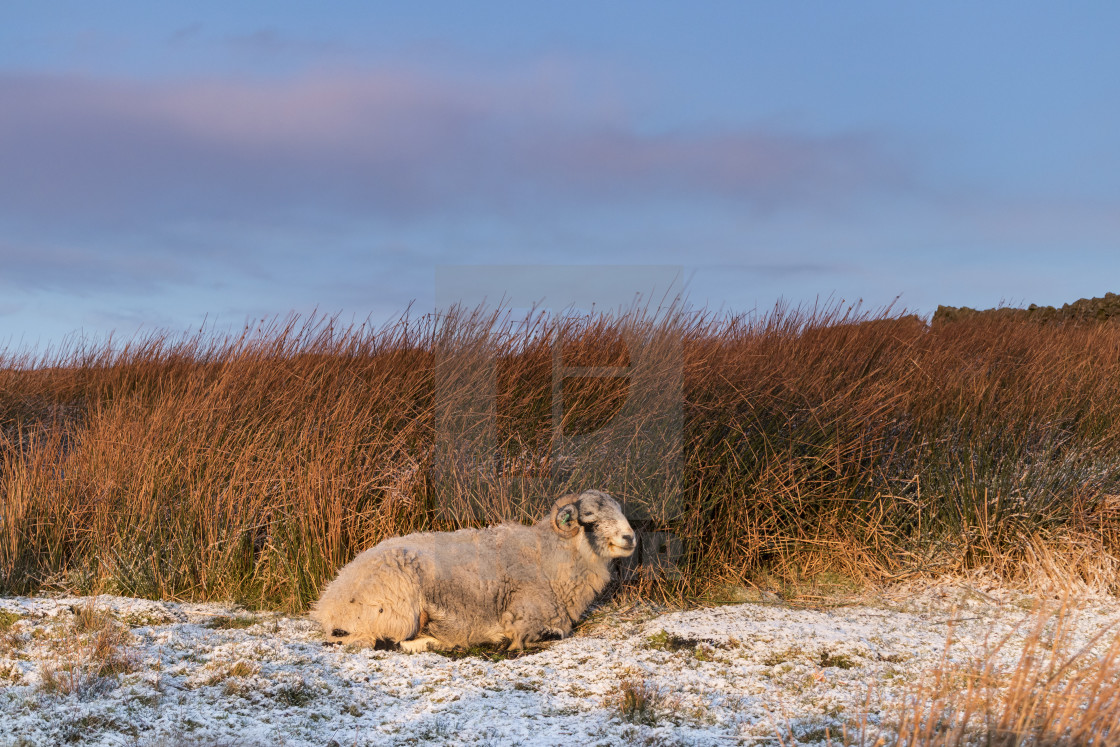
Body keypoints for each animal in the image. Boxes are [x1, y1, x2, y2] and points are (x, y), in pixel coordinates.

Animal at [311, 488, 636, 649]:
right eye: (590, 516)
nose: (630, 538)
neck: (547, 556)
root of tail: (328, 600)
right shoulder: (525, 617)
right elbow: (549, 634)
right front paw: (504, 640)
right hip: (397, 611)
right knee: (380, 641)